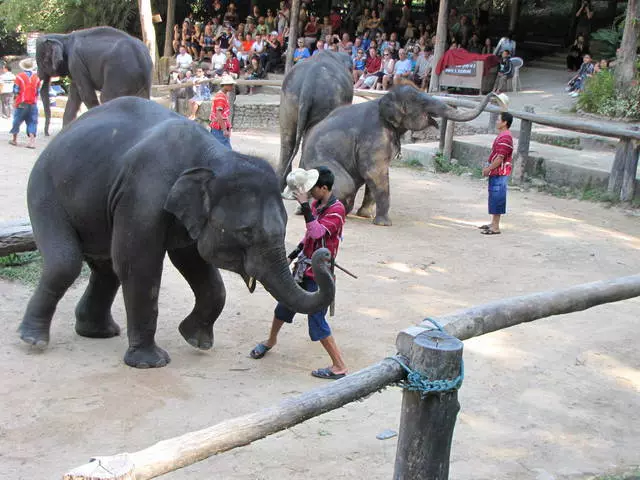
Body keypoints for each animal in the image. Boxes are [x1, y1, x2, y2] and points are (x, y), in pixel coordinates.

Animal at [18, 95, 336, 370]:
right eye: (246, 233)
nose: (321, 253)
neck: (214, 157)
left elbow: (194, 262)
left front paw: (197, 341)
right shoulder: (143, 196)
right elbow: (138, 264)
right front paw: (151, 363)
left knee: (106, 269)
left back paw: (98, 332)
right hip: (44, 191)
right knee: (66, 262)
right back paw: (33, 340)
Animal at [300, 85, 500, 227]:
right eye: (421, 103)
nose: (494, 94)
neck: (383, 99)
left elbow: (374, 176)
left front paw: (366, 215)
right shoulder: (375, 135)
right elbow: (374, 172)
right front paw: (384, 224)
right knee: (346, 184)